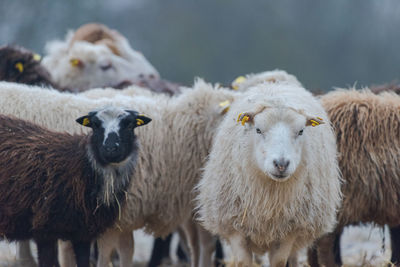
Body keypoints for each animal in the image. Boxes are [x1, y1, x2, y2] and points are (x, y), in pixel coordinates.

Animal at [196, 82, 340, 266]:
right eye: (258, 130)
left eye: (301, 131)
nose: (281, 164)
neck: (269, 197)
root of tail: (277, 84)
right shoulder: (235, 226)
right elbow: (243, 261)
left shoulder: (289, 231)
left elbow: (279, 261)